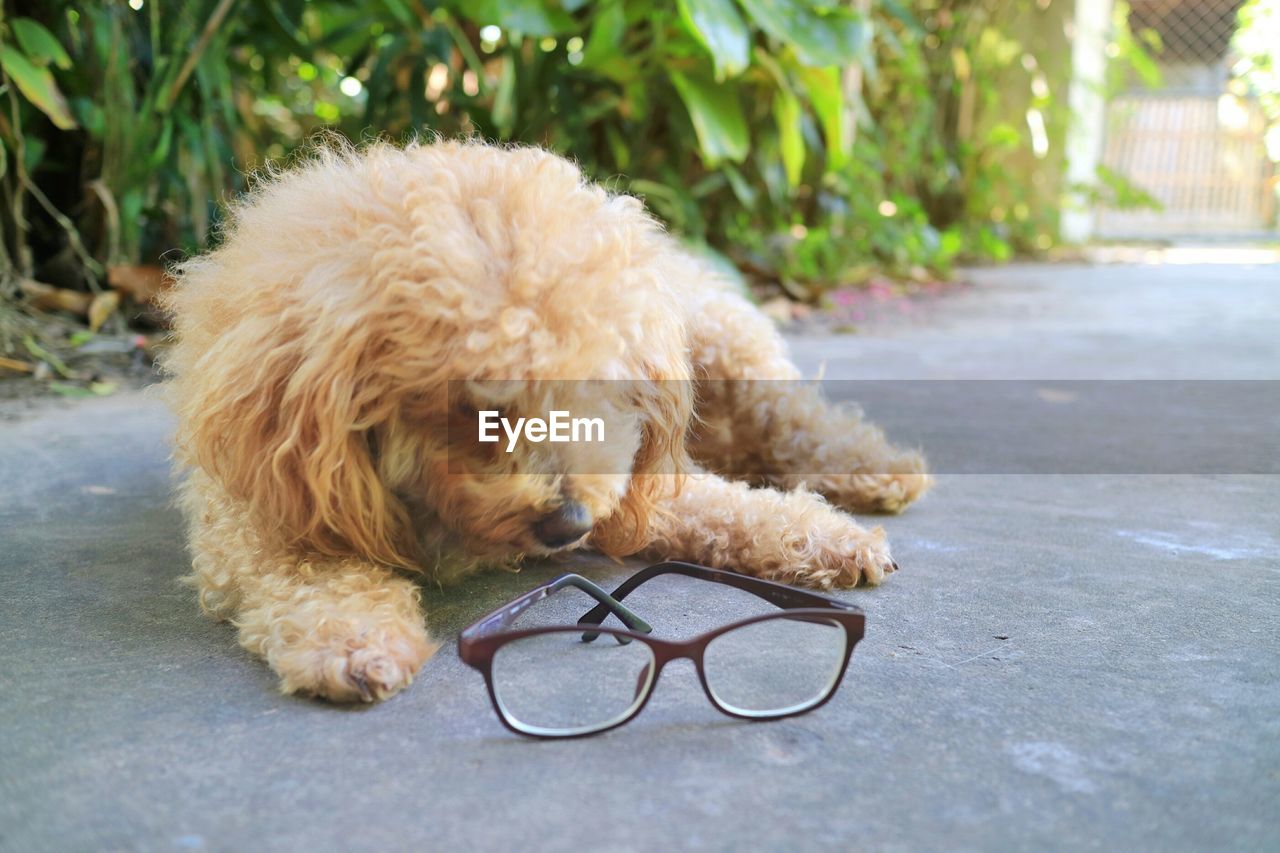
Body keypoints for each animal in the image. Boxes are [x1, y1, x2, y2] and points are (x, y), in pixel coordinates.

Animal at [162, 137, 931, 696]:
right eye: (479, 406)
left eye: (597, 388)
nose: (568, 524)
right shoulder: (259, 506)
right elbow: (306, 566)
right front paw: (350, 637)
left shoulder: (632, 481)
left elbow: (724, 505)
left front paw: (823, 536)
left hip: (718, 336)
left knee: (790, 411)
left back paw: (873, 468)